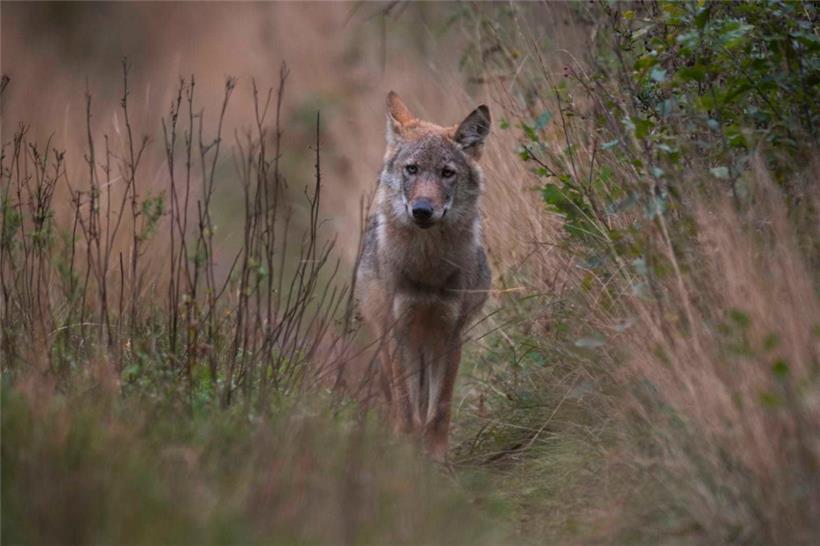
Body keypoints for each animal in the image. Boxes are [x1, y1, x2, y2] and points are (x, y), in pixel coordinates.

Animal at [354, 91, 491, 461]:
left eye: (447, 173)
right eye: (412, 169)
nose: (422, 210)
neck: (428, 268)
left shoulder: (450, 333)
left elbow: (439, 408)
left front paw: (436, 457)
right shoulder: (398, 332)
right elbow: (407, 408)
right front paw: (406, 453)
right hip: (389, 343)